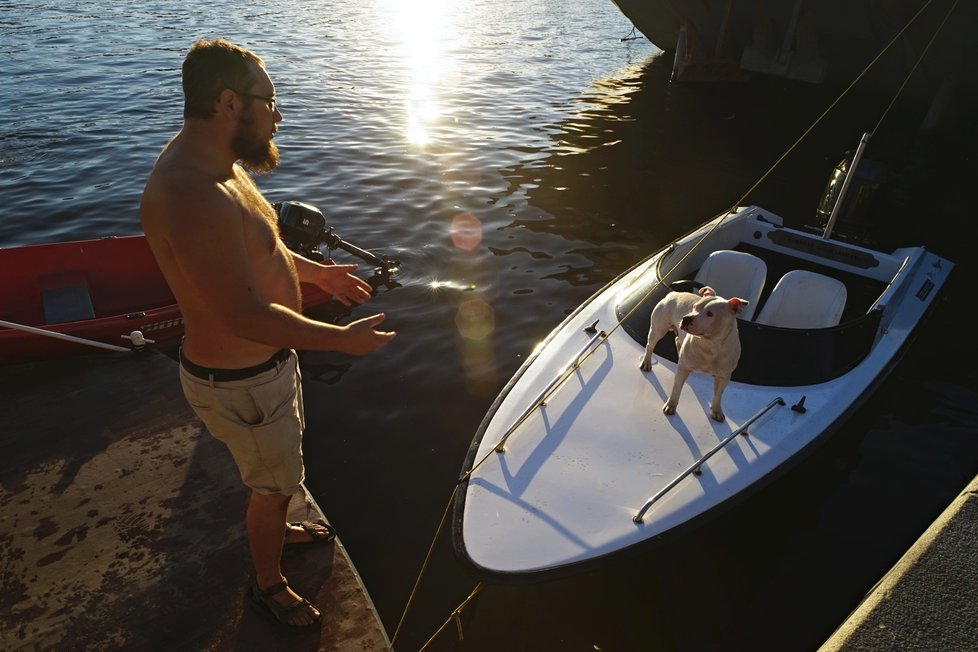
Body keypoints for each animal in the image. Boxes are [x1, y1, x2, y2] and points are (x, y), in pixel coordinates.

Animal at [640, 286, 748, 422]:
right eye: (694, 307)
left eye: (710, 313)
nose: (686, 318)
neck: (710, 345)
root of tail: (673, 293)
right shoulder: (683, 370)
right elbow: (676, 390)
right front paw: (671, 405)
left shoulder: (724, 377)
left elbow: (718, 395)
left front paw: (717, 411)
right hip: (657, 330)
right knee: (650, 346)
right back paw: (646, 362)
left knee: (677, 340)